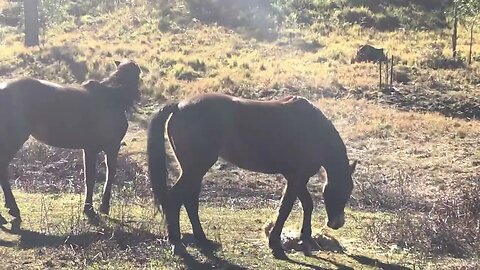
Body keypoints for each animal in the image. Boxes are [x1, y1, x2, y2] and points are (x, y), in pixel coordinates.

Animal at [0, 60, 142, 225]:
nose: (139, 96)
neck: (112, 97)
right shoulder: (110, 147)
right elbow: (105, 175)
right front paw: (99, 208)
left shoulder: (90, 149)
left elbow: (90, 178)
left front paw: (90, 208)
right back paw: (13, 210)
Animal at [147, 93, 356, 260]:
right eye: (342, 190)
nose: (337, 223)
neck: (313, 131)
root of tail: (179, 106)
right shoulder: (296, 178)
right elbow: (285, 208)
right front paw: (276, 245)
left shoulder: (297, 178)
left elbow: (306, 204)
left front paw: (306, 239)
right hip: (195, 168)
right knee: (175, 199)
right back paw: (177, 244)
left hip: (194, 170)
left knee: (189, 200)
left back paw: (203, 240)